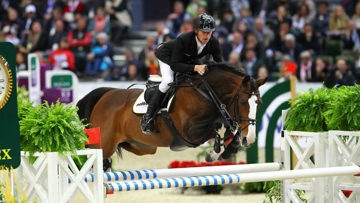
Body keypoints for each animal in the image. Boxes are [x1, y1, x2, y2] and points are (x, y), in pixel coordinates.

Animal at [77, 62, 266, 161]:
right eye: (242, 102)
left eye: (259, 103)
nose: (250, 139)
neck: (205, 93)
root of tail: (106, 94)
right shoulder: (190, 133)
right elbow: (214, 133)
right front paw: (213, 153)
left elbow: (228, 131)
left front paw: (225, 150)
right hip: (103, 145)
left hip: (141, 146)